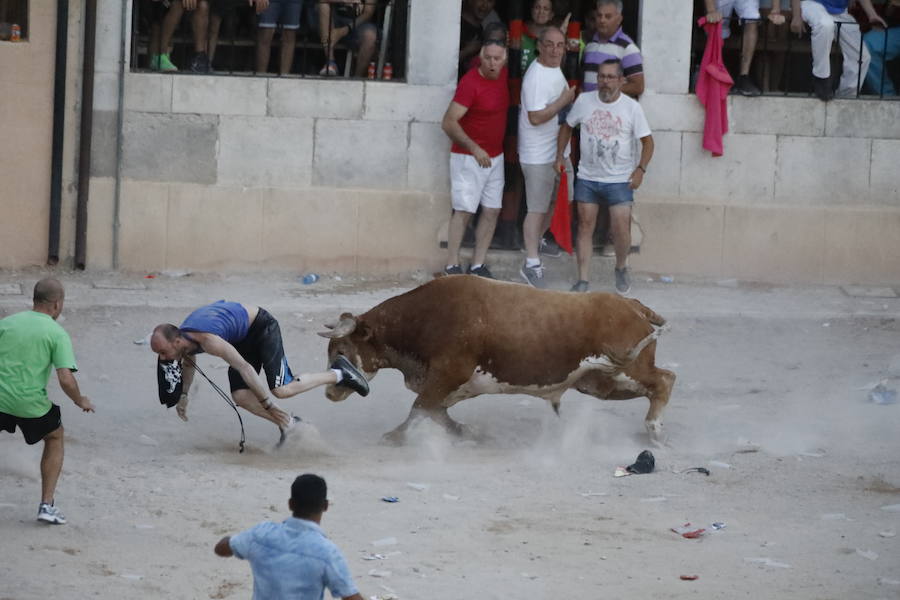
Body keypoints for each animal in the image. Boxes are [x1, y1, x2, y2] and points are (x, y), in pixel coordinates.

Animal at [316, 274, 676, 442]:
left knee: (664, 380)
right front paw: (468, 433)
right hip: (600, 383)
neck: (424, 317)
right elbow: (435, 412)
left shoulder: (448, 373)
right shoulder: (447, 386)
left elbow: (419, 409)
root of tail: (632, 305)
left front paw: (395, 437)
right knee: (663, 380)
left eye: (341, 351)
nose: (330, 392)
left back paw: (655, 430)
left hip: (626, 370)